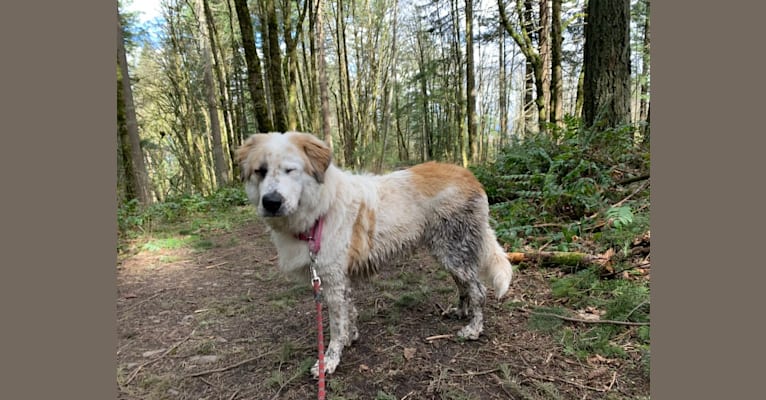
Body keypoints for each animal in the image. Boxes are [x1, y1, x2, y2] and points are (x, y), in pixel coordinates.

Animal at [238, 132, 516, 378]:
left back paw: (473, 329)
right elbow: (349, 313)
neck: (321, 208)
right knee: (463, 286)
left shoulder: (332, 280)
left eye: (290, 170)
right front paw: (351, 338)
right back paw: (460, 312)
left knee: (478, 290)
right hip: (447, 253)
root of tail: (469, 175)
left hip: (453, 251)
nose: (271, 202)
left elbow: (336, 327)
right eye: (260, 171)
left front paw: (329, 361)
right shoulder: (341, 280)